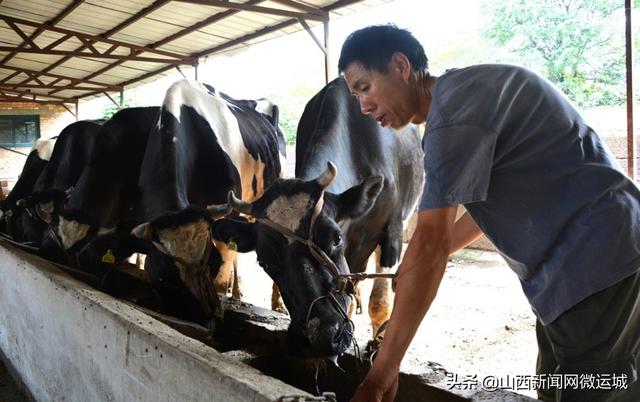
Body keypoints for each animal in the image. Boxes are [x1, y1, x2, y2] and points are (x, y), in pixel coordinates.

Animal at [130, 80, 284, 326]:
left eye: (207, 262)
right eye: (165, 274)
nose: (202, 318)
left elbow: (221, 276)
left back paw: (276, 303)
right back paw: (237, 293)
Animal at [215, 78, 424, 358]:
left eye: (335, 239)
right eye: (264, 261)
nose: (321, 336)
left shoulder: (392, 229)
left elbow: (379, 302)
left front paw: (379, 344)